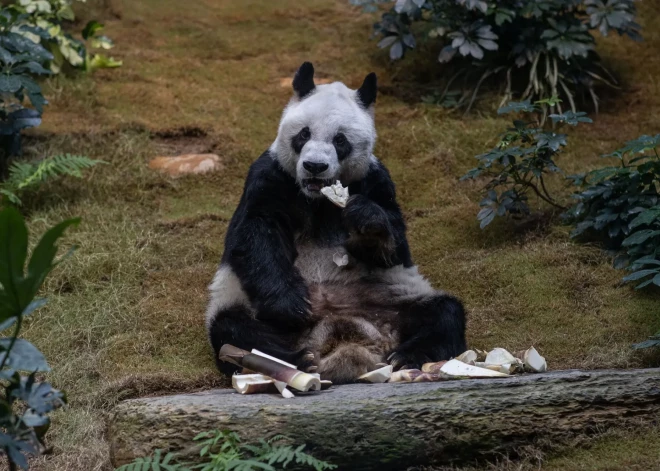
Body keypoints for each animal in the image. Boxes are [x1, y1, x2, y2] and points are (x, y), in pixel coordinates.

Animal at [204, 62, 466, 386]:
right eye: (303, 134)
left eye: (340, 140)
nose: (314, 166)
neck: (318, 198)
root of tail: (343, 340)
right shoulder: (270, 176)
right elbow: (255, 234)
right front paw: (292, 304)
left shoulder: (375, 180)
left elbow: (394, 245)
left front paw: (367, 220)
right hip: (247, 305)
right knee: (235, 329)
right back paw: (295, 360)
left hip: (394, 299)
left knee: (444, 312)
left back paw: (406, 356)